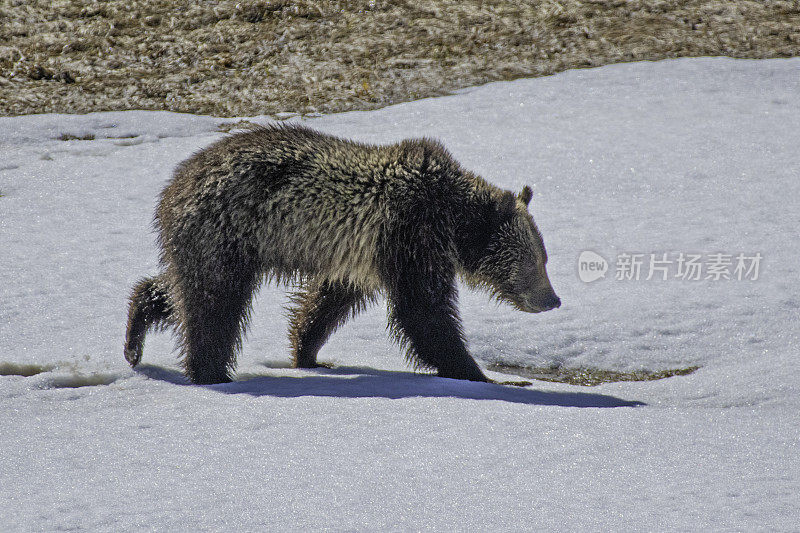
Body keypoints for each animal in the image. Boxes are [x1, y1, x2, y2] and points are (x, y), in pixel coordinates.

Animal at [126, 123, 564, 382]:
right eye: (535, 260)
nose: (553, 299)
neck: (453, 220)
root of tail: (173, 185)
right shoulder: (410, 232)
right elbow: (424, 311)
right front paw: (477, 373)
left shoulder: (361, 256)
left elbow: (326, 302)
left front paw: (307, 353)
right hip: (226, 231)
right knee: (213, 306)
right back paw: (211, 371)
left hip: (211, 242)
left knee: (180, 291)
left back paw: (136, 331)